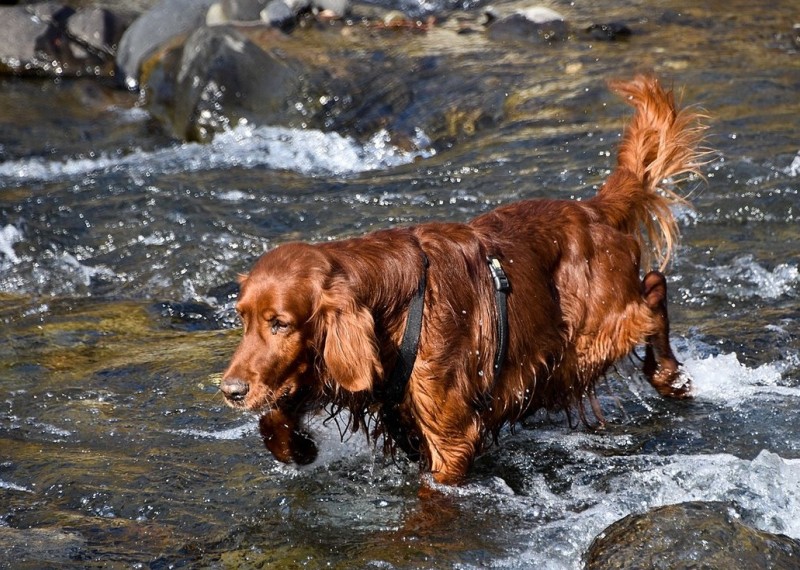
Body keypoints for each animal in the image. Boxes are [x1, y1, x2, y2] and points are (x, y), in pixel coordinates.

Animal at [220, 75, 708, 484]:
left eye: (280, 323)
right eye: (244, 319)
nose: (230, 391)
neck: (394, 305)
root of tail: (592, 210)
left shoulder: (450, 434)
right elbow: (276, 414)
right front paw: (297, 446)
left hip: (594, 336)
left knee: (653, 292)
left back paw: (670, 375)